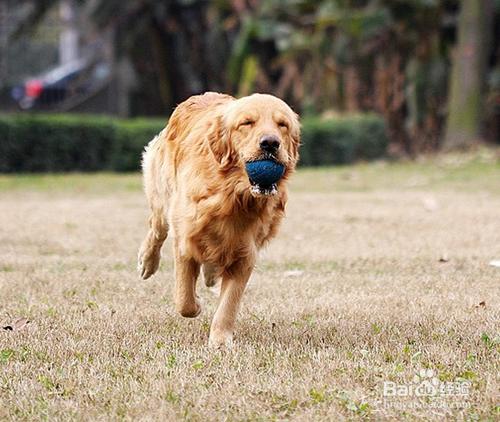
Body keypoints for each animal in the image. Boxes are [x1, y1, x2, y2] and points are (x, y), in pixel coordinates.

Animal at [138, 92, 300, 346]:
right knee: (156, 228)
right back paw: (147, 261)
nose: (270, 143)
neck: (232, 195)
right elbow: (184, 299)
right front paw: (196, 305)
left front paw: (221, 341)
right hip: (161, 196)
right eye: (247, 123)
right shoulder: (185, 239)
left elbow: (229, 304)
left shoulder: (245, 254)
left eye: (282, 124)